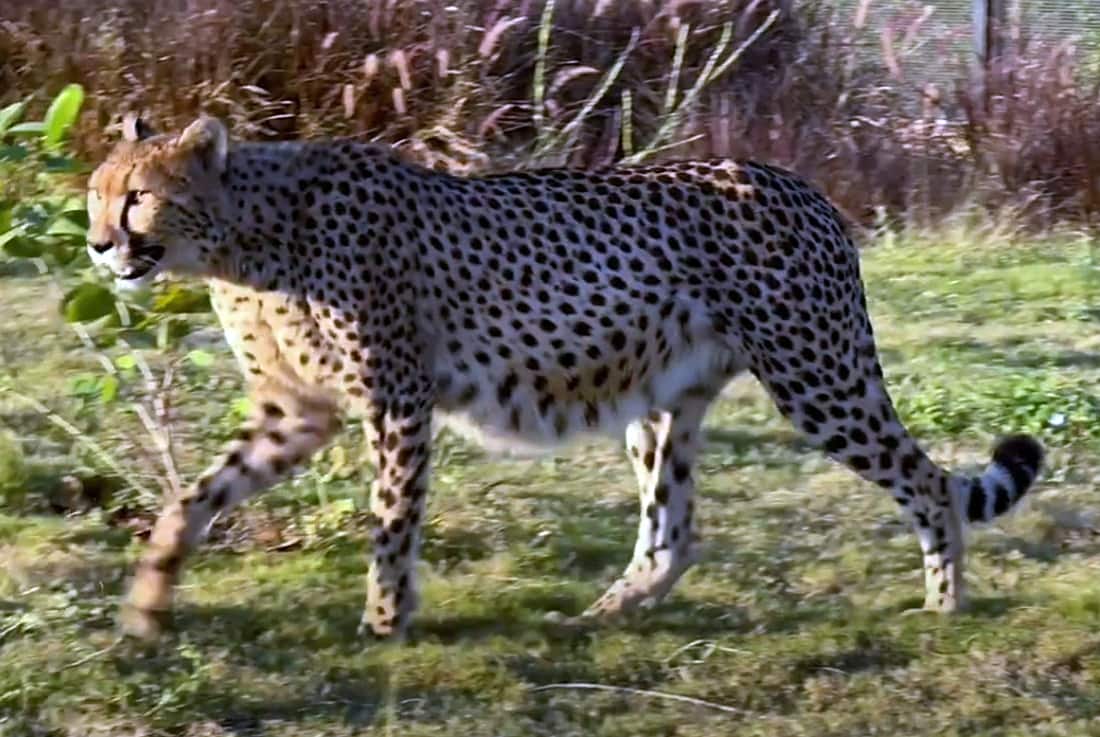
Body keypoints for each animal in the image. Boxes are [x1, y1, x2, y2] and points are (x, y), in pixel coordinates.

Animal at [85, 114, 1044, 641]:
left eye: (138, 196)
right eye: (95, 194)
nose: (98, 244)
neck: (246, 237)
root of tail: (800, 185)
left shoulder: (396, 401)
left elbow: (391, 523)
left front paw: (385, 622)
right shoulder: (298, 412)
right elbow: (188, 502)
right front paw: (145, 607)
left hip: (817, 374)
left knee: (926, 480)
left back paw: (944, 603)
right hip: (660, 402)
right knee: (673, 528)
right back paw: (608, 612)